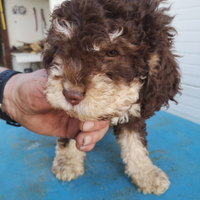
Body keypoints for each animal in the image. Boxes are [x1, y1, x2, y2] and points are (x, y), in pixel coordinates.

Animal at [42, 0, 181, 195]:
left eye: (112, 52)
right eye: (63, 47)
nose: (70, 95)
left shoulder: (135, 111)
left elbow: (136, 144)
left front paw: (146, 173)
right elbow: (68, 134)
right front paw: (67, 162)